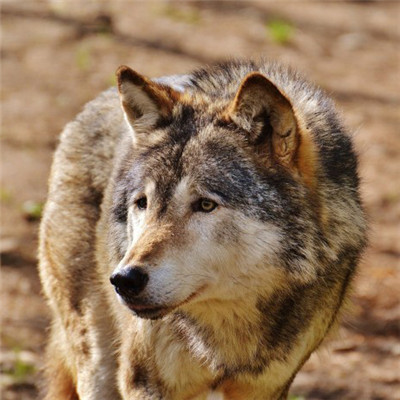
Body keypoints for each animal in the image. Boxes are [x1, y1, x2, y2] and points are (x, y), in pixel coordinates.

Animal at [39, 60, 368, 400]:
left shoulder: (267, 388)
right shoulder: (143, 382)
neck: (226, 333)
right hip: (97, 363)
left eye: (206, 204)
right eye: (143, 203)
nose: (124, 280)